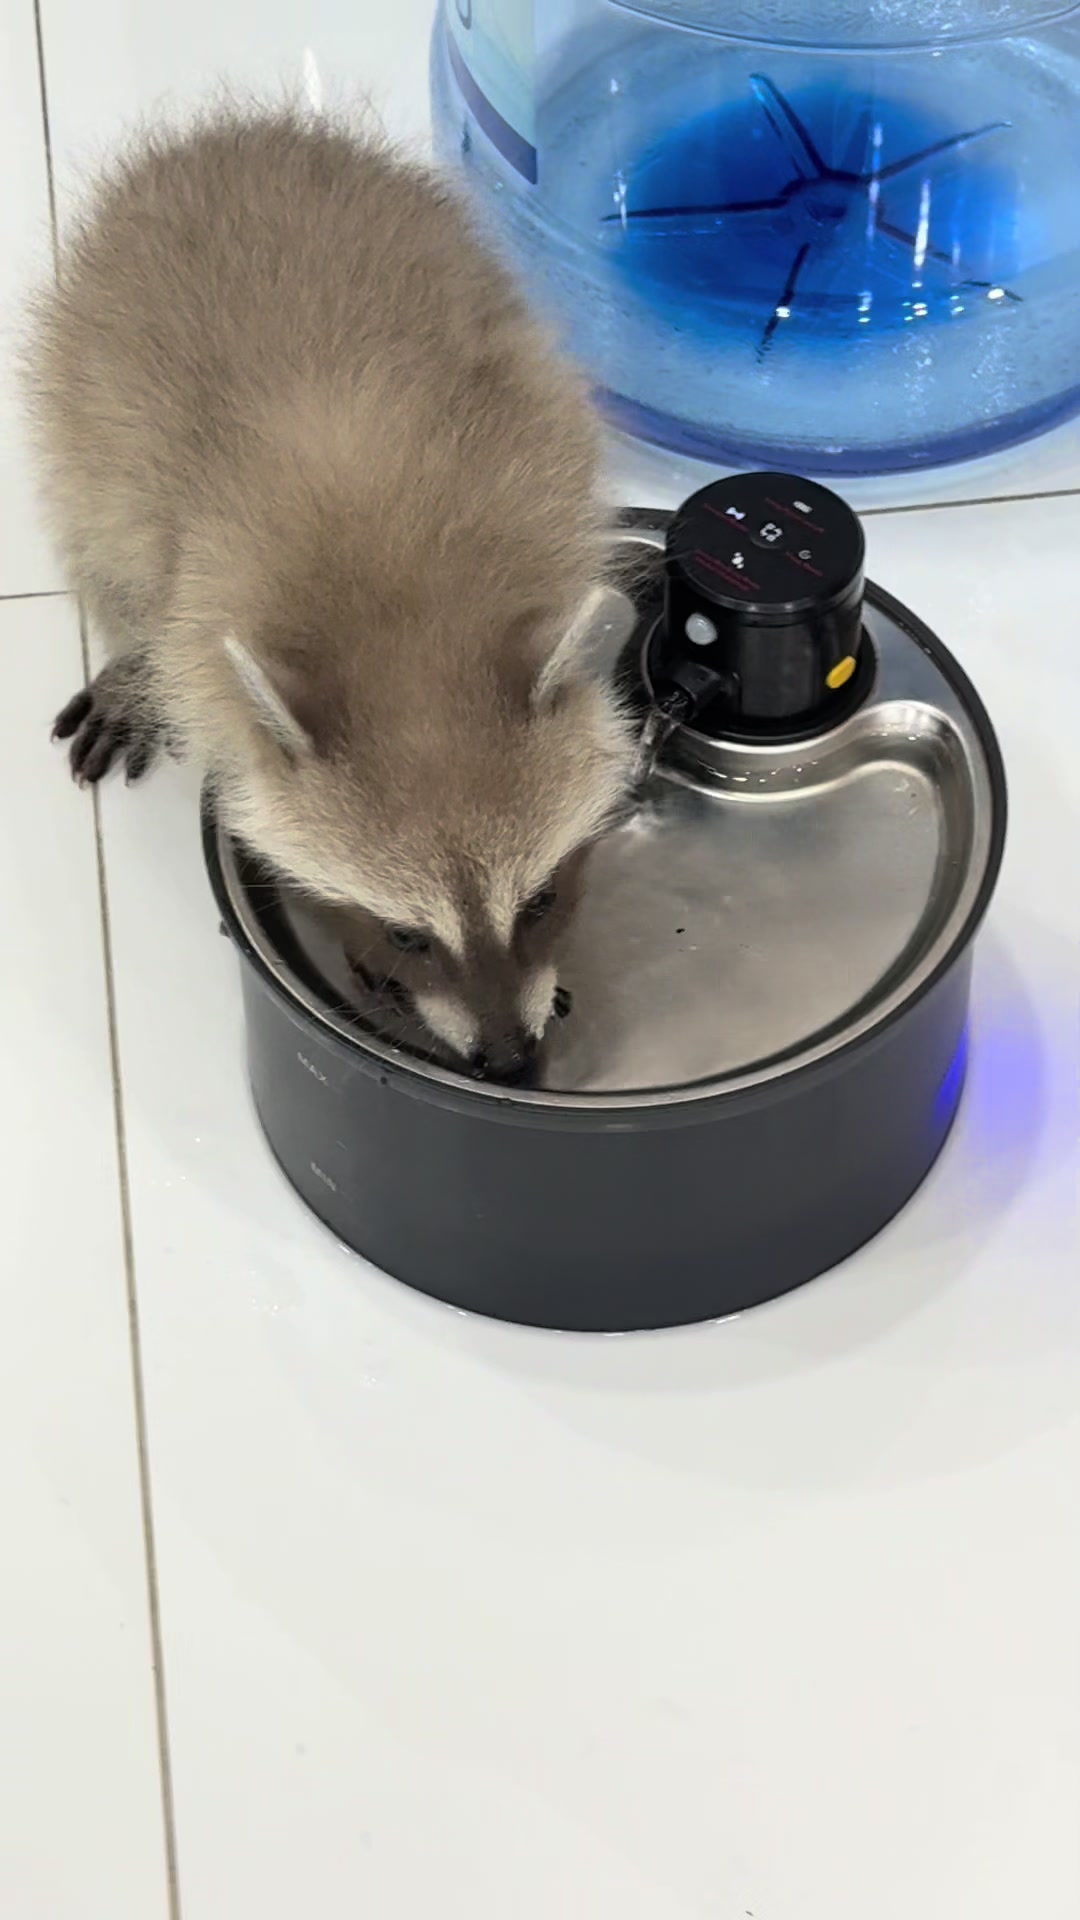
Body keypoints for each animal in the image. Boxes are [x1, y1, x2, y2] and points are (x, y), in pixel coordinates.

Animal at [25, 106, 635, 1084]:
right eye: (407, 933)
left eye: (538, 899)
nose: (508, 1064)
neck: (405, 611)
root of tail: (240, 132)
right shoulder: (203, 604)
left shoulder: (548, 469)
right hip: (82, 387)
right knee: (101, 536)